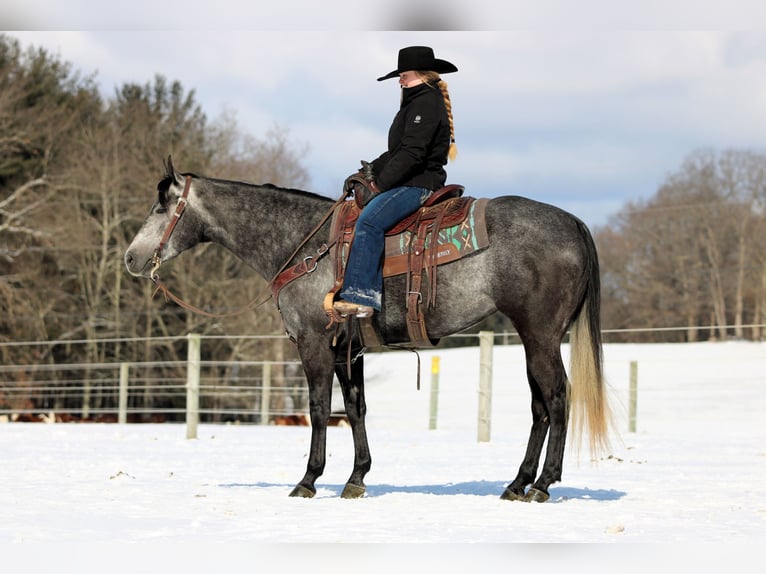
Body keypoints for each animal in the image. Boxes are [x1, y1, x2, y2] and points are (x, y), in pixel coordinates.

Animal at [129, 158, 616, 504]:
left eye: (162, 206)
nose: (131, 258)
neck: (305, 246)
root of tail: (573, 222)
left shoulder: (314, 344)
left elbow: (320, 410)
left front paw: (308, 480)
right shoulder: (351, 349)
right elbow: (355, 409)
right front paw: (357, 477)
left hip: (541, 336)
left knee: (557, 398)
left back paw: (542, 484)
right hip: (534, 338)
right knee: (540, 407)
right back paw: (517, 483)